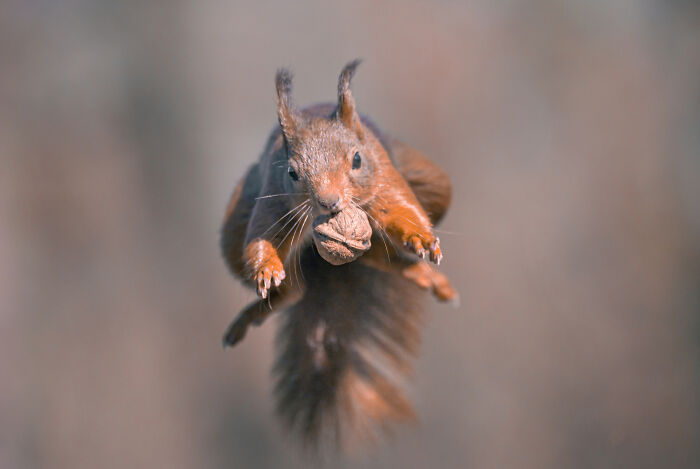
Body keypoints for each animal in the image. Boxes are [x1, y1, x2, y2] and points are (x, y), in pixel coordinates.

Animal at [220, 60, 457, 447]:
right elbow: (260, 241)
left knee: (386, 257)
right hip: (232, 230)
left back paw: (421, 273)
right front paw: (266, 269)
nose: (329, 202)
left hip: (433, 184)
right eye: (292, 172)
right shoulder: (273, 201)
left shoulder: (384, 177)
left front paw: (421, 239)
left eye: (358, 159)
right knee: (291, 290)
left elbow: (403, 210)